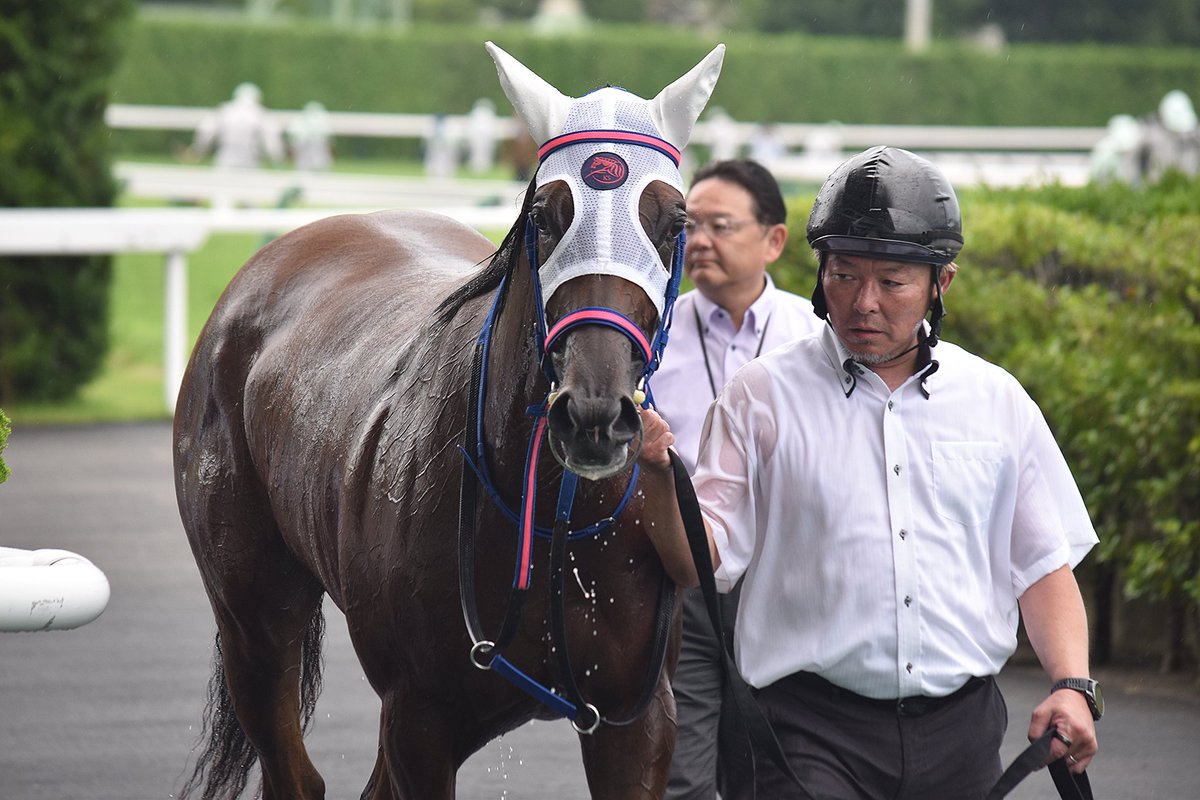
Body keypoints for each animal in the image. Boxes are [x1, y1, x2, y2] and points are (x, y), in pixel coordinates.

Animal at [172, 42, 725, 799]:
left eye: (674, 223)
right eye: (547, 215)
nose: (593, 413)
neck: (548, 518)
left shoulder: (636, 720)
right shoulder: (420, 715)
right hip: (254, 616)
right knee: (292, 766)